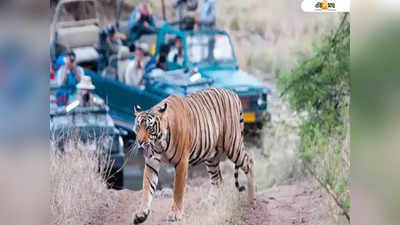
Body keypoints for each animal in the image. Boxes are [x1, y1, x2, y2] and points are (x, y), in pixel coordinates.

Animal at [131, 87, 256, 223]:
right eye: (138, 127)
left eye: (149, 128)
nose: (140, 141)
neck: (159, 144)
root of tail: (232, 93)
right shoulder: (151, 163)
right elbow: (147, 188)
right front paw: (141, 214)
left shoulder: (181, 162)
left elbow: (178, 190)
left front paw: (175, 214)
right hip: (211, 156)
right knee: (217, 179)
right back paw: (210, 202)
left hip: (233, 146)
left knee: (249, 162)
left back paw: (251, 199)